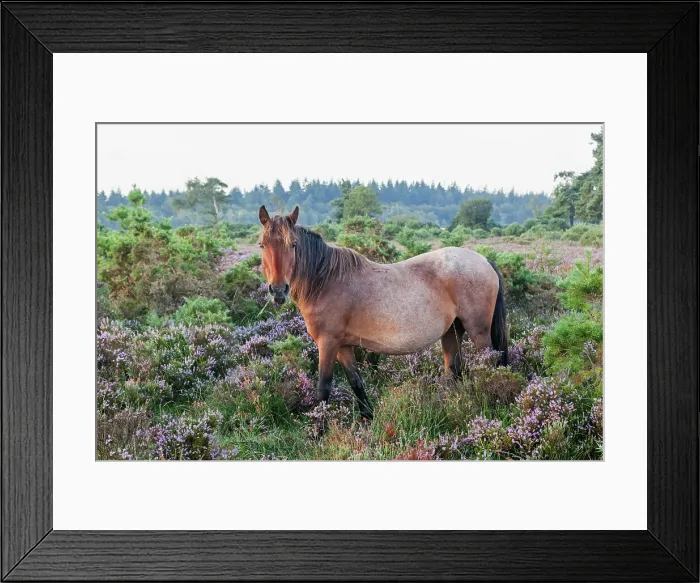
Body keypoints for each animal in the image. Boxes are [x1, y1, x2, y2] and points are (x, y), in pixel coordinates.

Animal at [257, 205, 508, 420]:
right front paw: (367, 418)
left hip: (478, 332)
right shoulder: (343, 346)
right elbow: (356, 382)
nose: (278, 290)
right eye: (262, 245)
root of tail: (484, 260)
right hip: (452, 331)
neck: (326, 281)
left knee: (489, 366)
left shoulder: (327, 343)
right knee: (453, 370)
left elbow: (323, 388)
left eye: (293, 244)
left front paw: (321, 429)